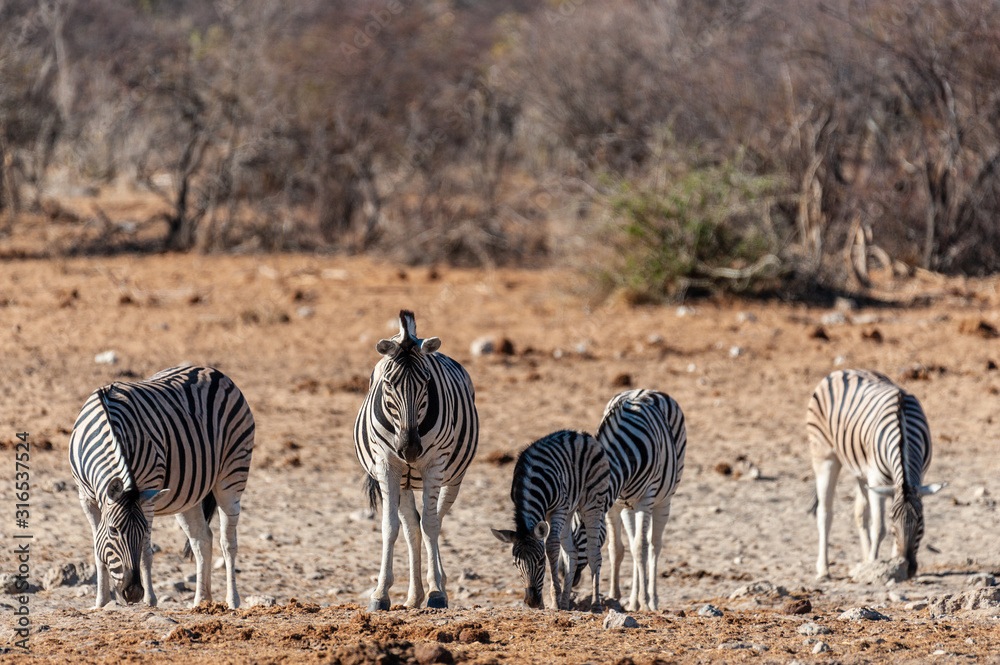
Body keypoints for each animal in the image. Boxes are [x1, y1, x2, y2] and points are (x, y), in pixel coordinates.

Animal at [68, 365, 255, 609]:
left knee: (228, 542)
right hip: (188, 496)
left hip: (232, 475)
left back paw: (232, 601)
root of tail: (214, 372)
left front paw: (150, 599)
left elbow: (146, 552)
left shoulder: (147, 490)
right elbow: (98, 550)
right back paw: (201, 601)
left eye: (140, 532)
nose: (133, 592)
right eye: (113, 530)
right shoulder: (86, 498)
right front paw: (101, 602)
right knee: (202, 539)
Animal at [354, 310, 479, 611]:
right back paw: (413, 596)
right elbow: (390, 527)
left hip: (452, 477)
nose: (410, 449)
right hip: (403, 482)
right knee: (411, 527)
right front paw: (380, 594)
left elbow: (431, 525)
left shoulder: (435, 465)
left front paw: (436, 592)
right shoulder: (387, 465)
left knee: (434, 520)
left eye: (426, 382)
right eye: (388, 384)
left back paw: (437, 585)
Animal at [491, 429, 611, 611]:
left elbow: (552, 545)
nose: (532, 602)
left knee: (593, 552)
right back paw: (566, 603)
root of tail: (582, 434)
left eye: (541, 562)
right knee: (572, 551)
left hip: (593, 501)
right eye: (515, 564)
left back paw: (596, 605)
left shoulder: (558, 509)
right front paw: (554, 601)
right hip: (570, 508)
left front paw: (554, 601)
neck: (529, 480)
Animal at [597, 389, 687, 612]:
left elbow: (640, 549)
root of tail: (648, 390)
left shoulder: (645, 499)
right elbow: (616, 549)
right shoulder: (613, 506)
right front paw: (614, 595)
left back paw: (651, 600)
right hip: (628, 507)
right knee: (633, 542)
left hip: (664, 500)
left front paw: (645, 601)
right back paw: (634, 600)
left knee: (653, 546)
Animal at [807, 369, 945, 580]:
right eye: (893, 522)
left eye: (921, 521)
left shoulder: (914, 478)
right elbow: (878, 528)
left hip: (861, 471)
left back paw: (864, 562)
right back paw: (824, 569)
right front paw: (878, 563)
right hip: (824, 455)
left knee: (859, 513)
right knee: (825, 513)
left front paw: (892, 564)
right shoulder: (878, 480)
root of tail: (842, 371)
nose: (910, 569)